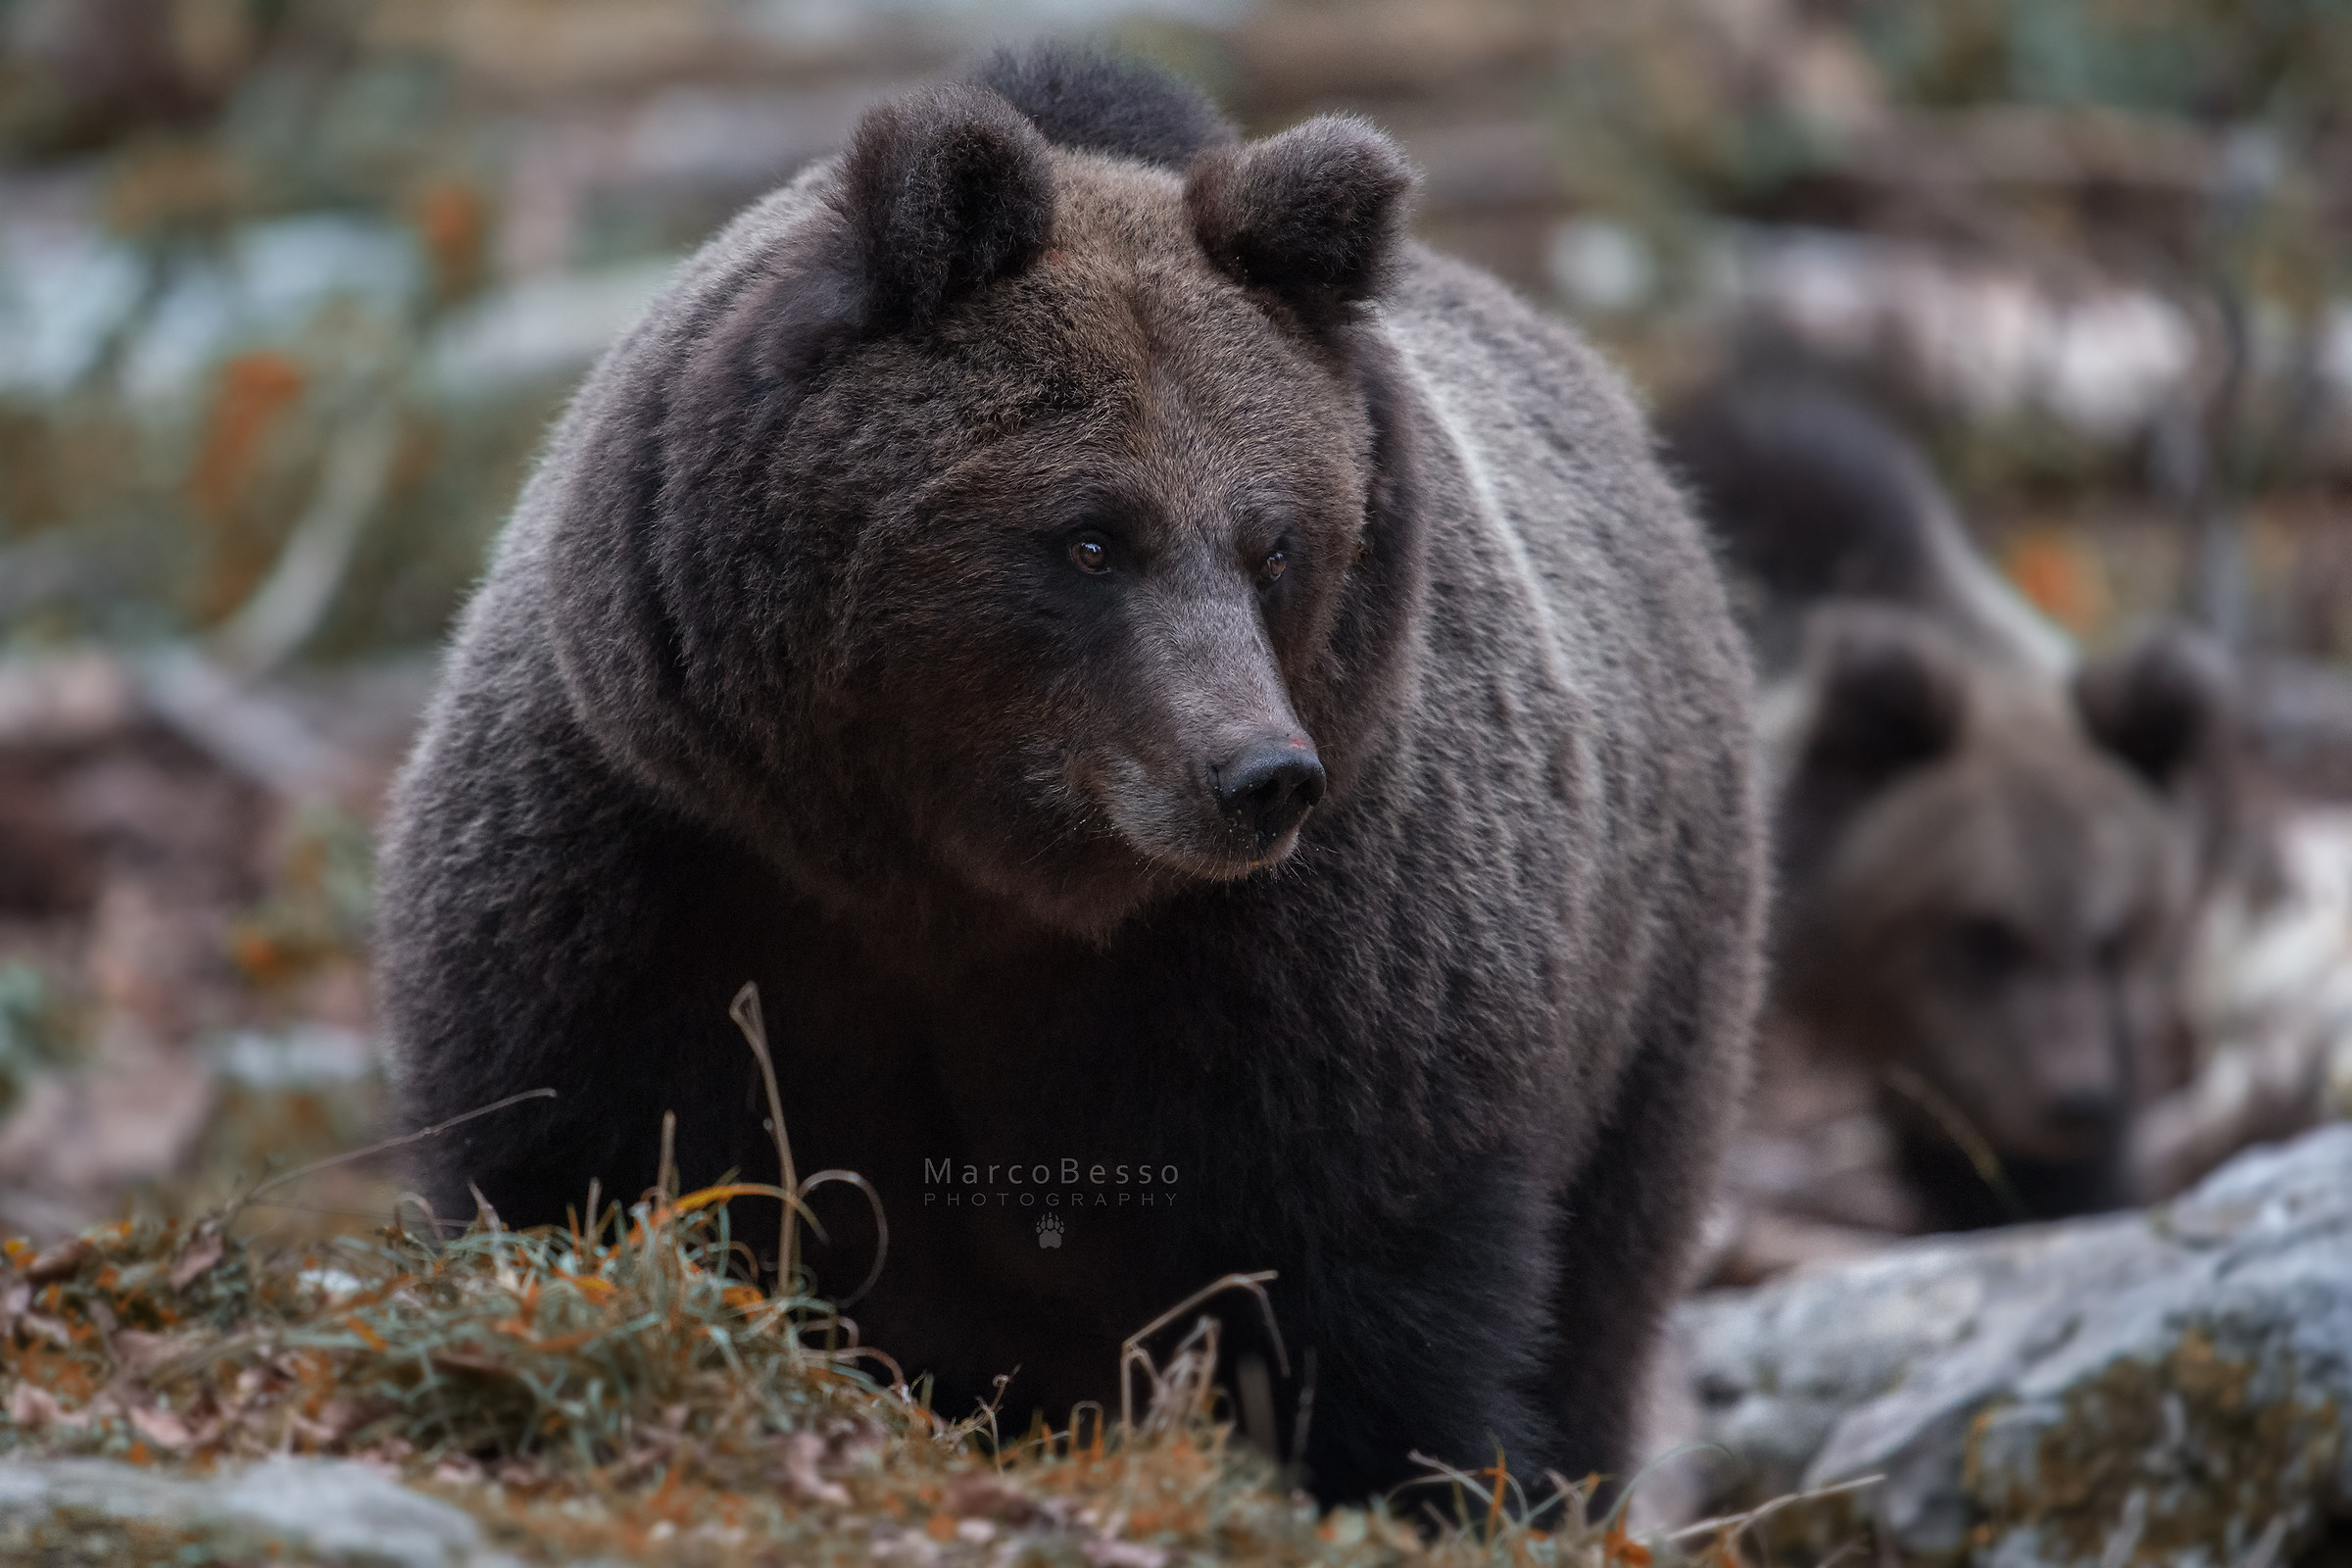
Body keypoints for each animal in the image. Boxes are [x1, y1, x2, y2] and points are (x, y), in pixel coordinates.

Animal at [376, 45, 1764, 1505]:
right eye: (1093, 536)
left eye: (1276, 544)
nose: (1260, 773)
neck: (963, 881)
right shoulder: (654, 860)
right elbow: (580, 1158)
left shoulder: (1331, 956)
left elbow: (1373, 1282)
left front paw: (1407, 1479)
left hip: (1655, 993)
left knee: (1602, 1292)